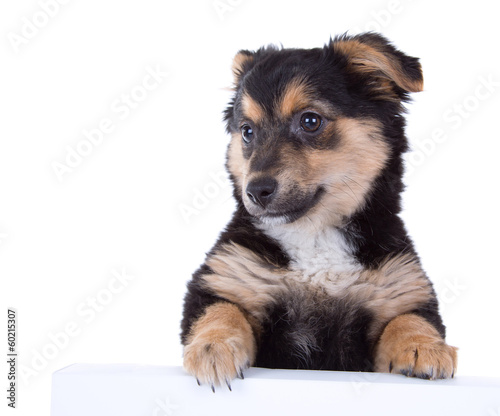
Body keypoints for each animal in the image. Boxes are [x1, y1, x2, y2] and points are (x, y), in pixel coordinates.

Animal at [180, 32, 458, 390]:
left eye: (310, 121)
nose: (255, 191)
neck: (314, 234)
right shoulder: (224, 281)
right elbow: (220, 313)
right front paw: (212, 349)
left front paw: (426, 347)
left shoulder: (401, 291)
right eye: (247, 131)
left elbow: (408, 320)